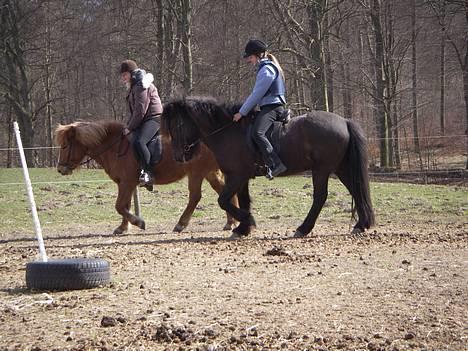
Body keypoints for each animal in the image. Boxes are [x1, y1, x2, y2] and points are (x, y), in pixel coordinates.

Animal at [54, 121, 238, 236]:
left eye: (65, 146)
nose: (60, 169)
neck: (114, 147)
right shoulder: (125, 184)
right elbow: (125, 206)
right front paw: (123, 228)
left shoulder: (127, 182)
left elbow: (120, 206)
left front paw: (138, 222)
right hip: (210, 172)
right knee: (223, 192)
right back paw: (231, 222)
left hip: (196, 172)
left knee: (195, 197)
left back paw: (181, 224)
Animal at [163, 97, 374, 238]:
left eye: (178, 125)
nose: (178, 156)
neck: (229, 131)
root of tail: (344, 121)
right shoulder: (242, 177)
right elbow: (243, 200)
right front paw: (243, 229)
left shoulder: (237, 176)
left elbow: (223, 200)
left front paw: (248, 221)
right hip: (340, 168)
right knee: (356, 190)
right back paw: (361, 225)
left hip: (322, 170)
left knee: (321, 197)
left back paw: (303, 228)